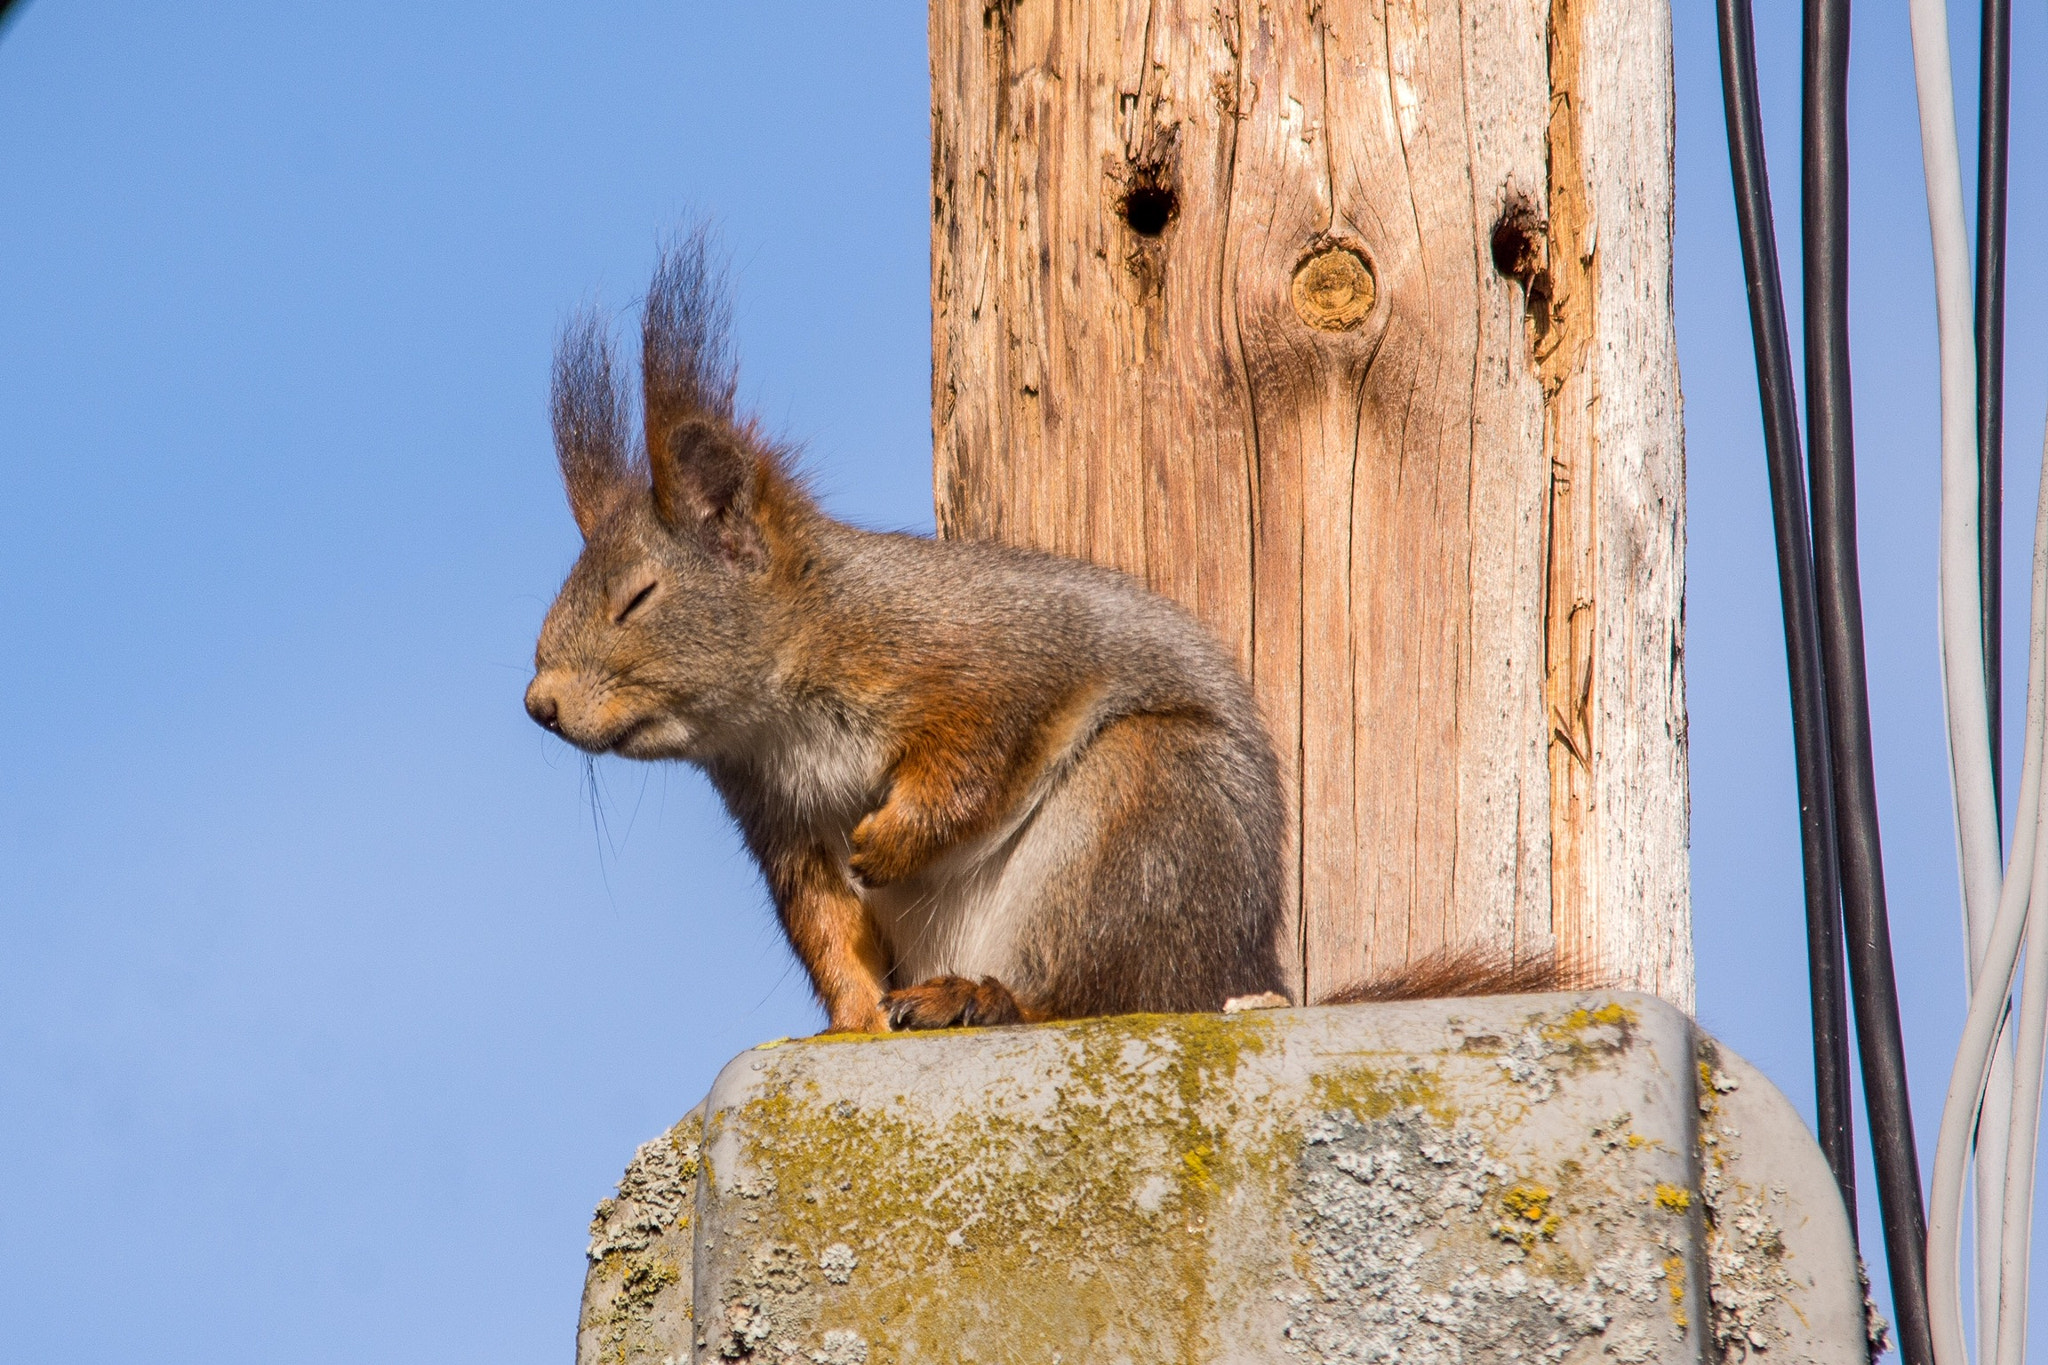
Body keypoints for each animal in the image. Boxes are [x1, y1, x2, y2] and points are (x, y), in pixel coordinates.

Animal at [528, 237, 1581, 1035]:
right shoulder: (782, 826)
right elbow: (829, 930)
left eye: (637, 598)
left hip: (1143, 820)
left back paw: (982, 996)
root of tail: (1237, 978)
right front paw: (853, 1023)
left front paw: (890, 842)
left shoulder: (987, 662)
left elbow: (973, 761)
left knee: (1089, 991)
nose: (540, 703)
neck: (784, 700)